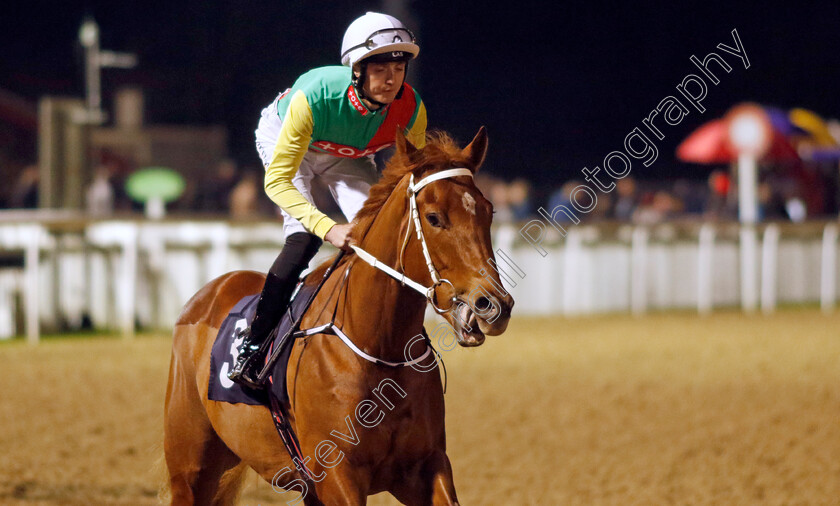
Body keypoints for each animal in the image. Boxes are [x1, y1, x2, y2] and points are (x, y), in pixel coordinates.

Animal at [164, 127, 516, 506]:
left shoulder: (425, 465)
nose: (492, 305)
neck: (378, 346)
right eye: (435, 218)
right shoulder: (337, 475)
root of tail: (209, 292)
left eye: (489, 211)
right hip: (190, 471)